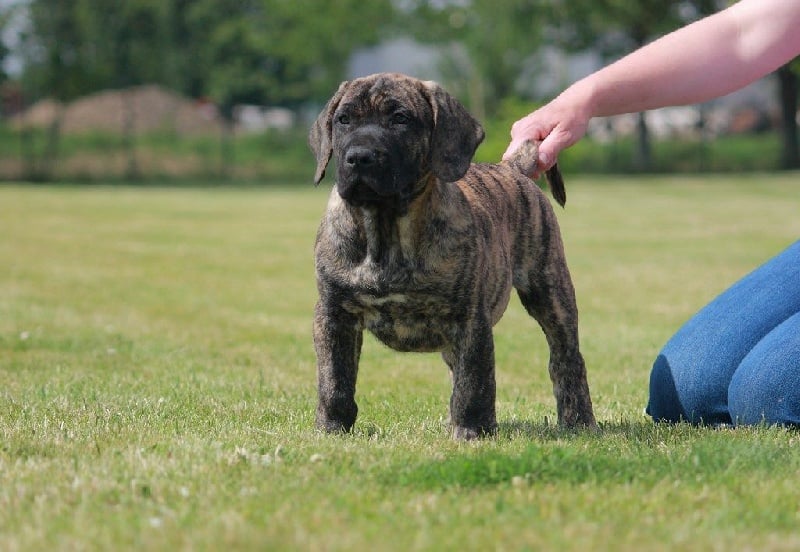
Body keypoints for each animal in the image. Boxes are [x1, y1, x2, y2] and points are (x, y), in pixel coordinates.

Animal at [310, 71, 596, 440]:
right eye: (343, 120)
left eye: (400, 118)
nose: (359, 157)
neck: (386, 231)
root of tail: (512, 168)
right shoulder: (334, 314)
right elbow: (334, 380)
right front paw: (331, 428)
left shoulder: (469, 319)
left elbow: (474, 380)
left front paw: (471, 429)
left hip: (550, 292)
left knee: (566, 358)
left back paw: (579, 420)